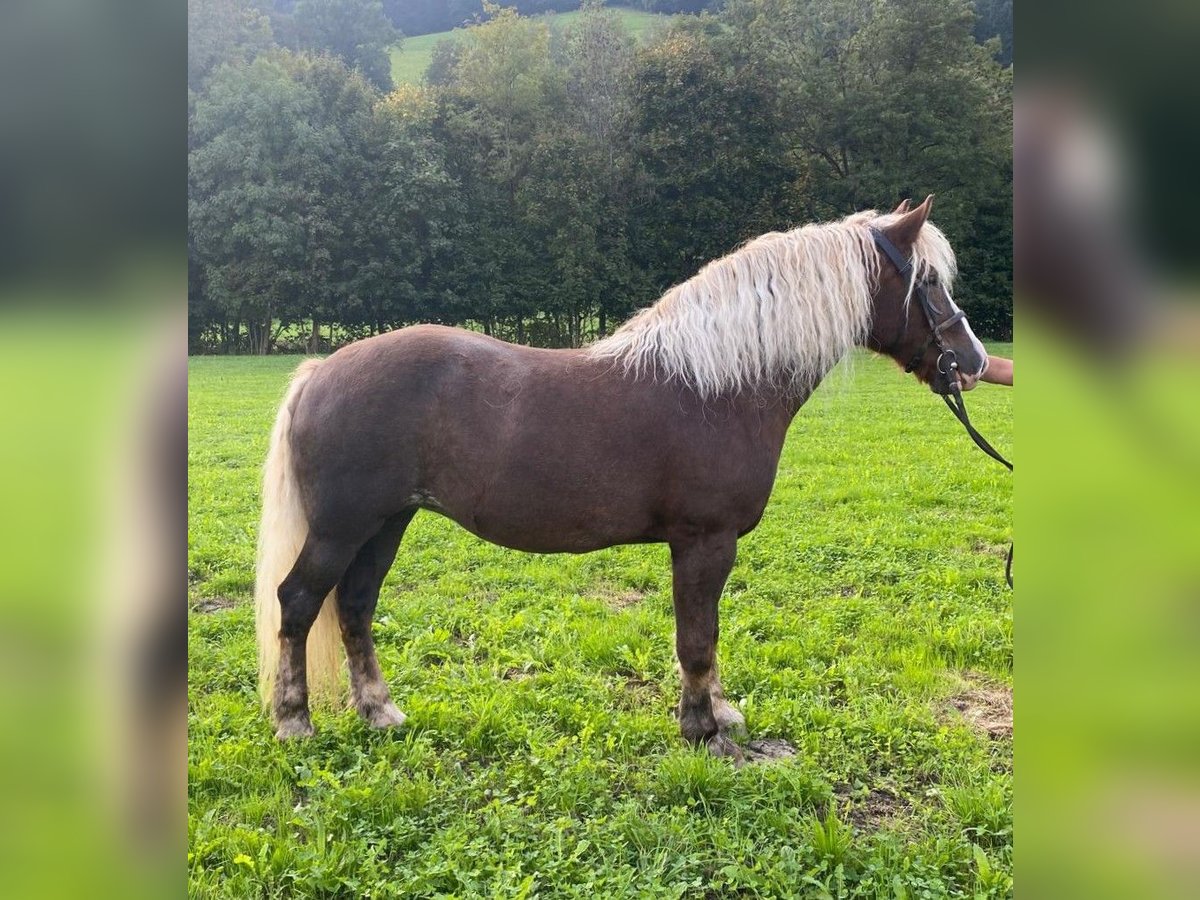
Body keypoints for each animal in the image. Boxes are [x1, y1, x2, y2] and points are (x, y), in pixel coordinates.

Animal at [255, 195, 989, 756]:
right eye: (928, 283)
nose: (974, 360)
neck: (720, 384)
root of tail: (320, 372)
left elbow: (703, 634)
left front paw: (719, 715)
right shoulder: (705, 541)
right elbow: (697, 638)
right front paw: (703, 730)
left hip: (386, 523)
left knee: (354, 605)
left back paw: (379, 711)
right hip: (342, 528)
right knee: (299, 601)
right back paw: (295, 722)